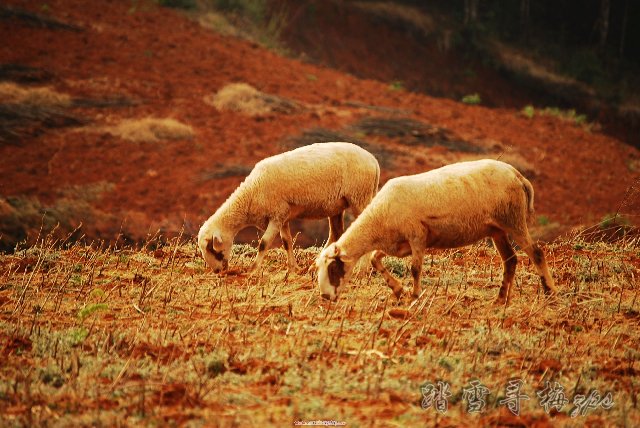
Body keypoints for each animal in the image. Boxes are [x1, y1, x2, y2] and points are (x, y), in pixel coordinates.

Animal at [199, 141, 380, 274]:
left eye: (211, 249)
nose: (217, 271)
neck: (250, 194)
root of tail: (374, 161)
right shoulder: (282, 216)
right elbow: (287, 242)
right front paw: (292, 269)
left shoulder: (276, 215)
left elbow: (264, 243)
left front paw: (252, 270)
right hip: (337, 205)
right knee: (336, 233)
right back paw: (315, 266)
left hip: (360, 197)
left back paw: (361, 271)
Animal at [316, 158, 556, 304]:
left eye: (333, 269)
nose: (325, 297)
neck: (378, 219)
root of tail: (518, 175)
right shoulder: (398, 244)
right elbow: (375, 259)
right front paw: (398, 290)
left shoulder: (417, 236)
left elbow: (415, 269)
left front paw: (414, 296)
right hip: (497, 229)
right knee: (510, 260)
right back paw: (501, 299)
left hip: (513, 220)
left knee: (536, 253)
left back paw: (549, 292)